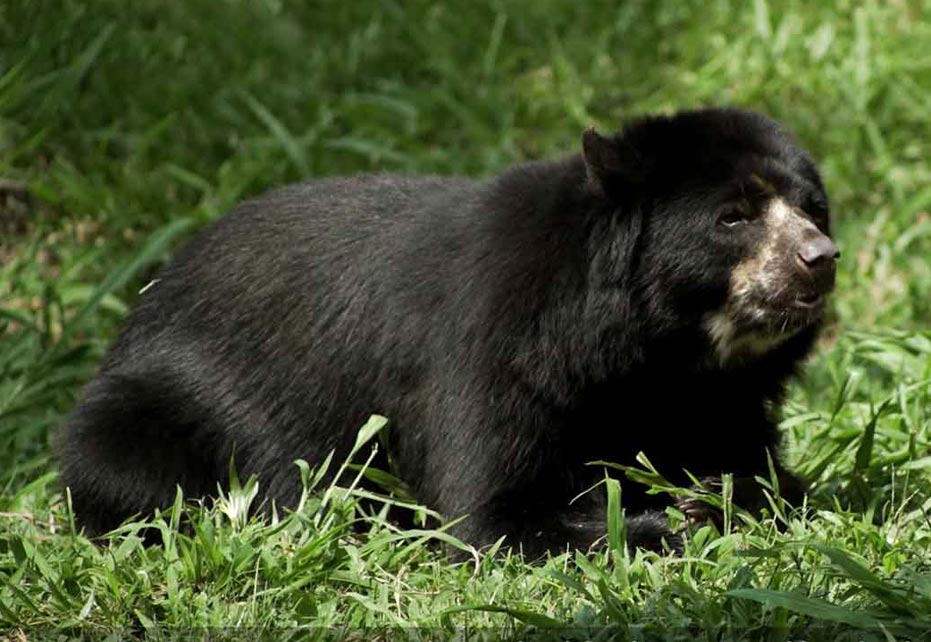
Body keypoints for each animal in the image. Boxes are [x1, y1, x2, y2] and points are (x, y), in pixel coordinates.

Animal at [58, 107, 838, 557]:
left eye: (812, 208)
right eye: (733, 216)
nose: (820, 258)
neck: (659, 352)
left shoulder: (717, 396)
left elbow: (761, 467)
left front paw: (725, 493)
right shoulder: (494, 355)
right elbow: (490, 515)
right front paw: (669, 519)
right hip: (151, 406)